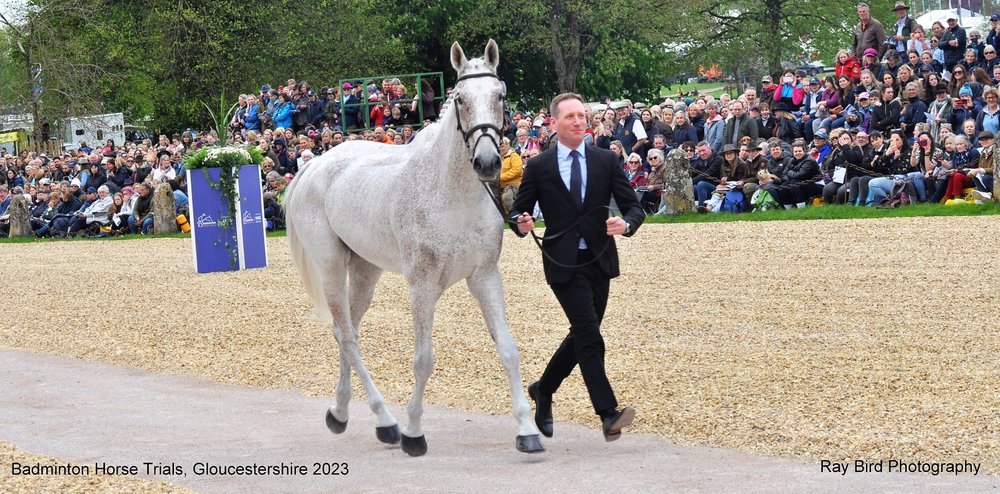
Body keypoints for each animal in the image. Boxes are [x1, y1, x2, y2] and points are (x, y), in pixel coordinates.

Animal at [284, 39, 544, 456]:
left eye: (500, 95)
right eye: (460, 100)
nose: (488, 162)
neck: (452, 196)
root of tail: (316, 164)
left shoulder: (485, 278)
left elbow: (507, 348)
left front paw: (527, 430)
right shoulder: (422, 286)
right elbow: (423, 360)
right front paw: (414, 433)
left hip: (365, 270)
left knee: (345, 332)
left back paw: (341, 413)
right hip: (331, 268)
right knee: (349, 337)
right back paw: (387, 421)